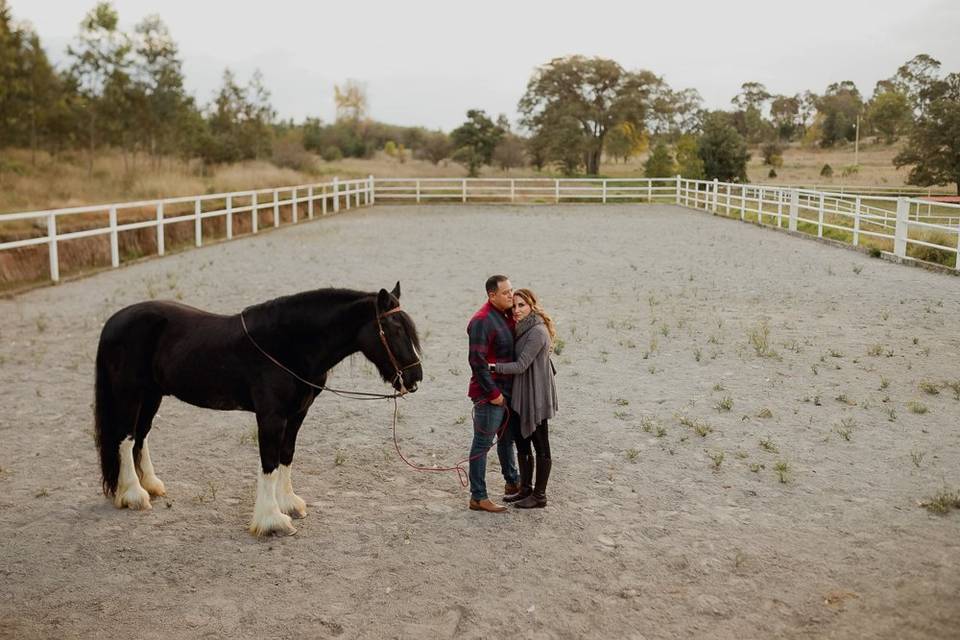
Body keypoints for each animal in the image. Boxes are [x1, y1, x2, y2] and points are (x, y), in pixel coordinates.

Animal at [94, 284, 420, 536]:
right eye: (394, 330)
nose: (415, 378)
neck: (287, 346)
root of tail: (113, 322)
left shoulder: (297, 414)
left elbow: (286, 456)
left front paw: (289, 504)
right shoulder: (271, 417)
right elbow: (269, 464)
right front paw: (271, 521)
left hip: (152, 394)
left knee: (141, 436)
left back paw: (151, 486)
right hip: (130, 394)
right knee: (124, 439)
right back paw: (134, 495)